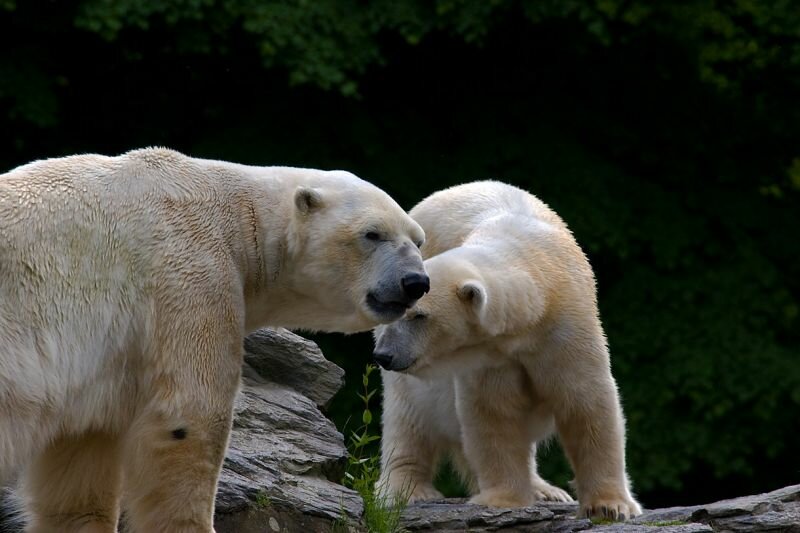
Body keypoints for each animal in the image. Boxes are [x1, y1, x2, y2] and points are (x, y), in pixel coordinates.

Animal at [1, 148, 432, 532]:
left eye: (418, 239)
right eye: (372, 234)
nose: (416, 282)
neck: (239, 215)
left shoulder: (100, 371)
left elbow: (79, 472)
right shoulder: (190, 274)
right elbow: (188, 420)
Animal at [376, 180, 644, 520]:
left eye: (420, 316)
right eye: (402, 312)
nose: (384, 355)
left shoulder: (566, 328)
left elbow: (586, 401)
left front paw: (611, 505)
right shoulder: (490, 357)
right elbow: (494, 412)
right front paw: (501, 499)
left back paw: (546, 490)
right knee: (411, 413)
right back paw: (407, 489)